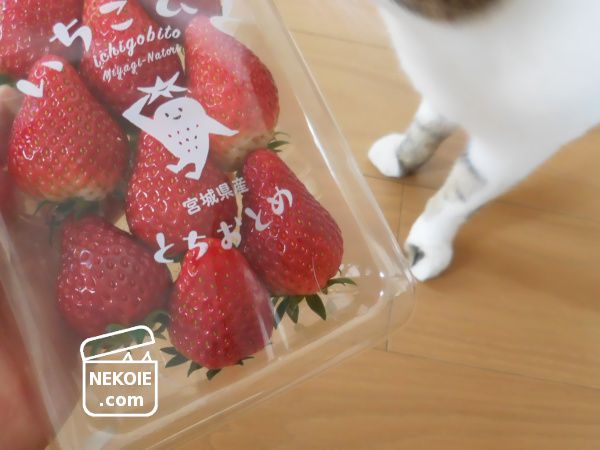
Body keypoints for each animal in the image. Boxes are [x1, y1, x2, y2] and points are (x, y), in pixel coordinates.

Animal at [368, 0, 600, 281]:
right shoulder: (449, 89)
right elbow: (428, 126)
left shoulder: (517, 144)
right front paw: (401, 157)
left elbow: (460, 197)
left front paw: (425, 247)